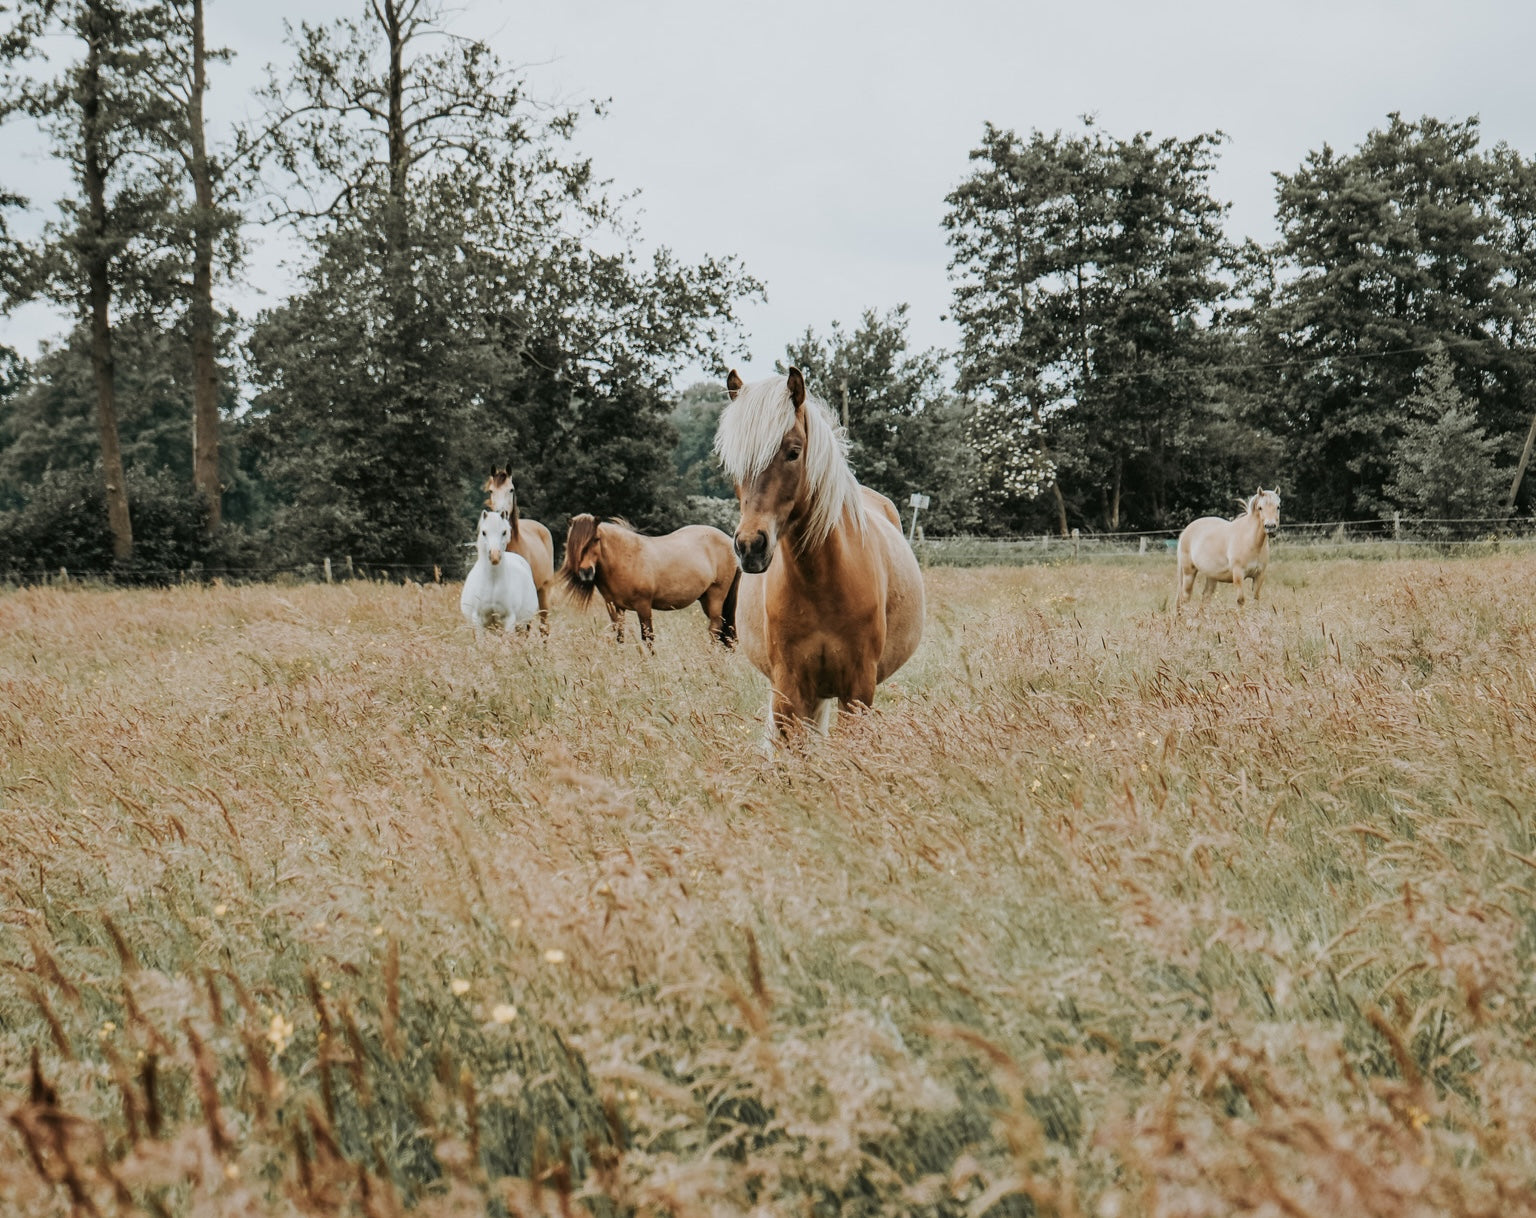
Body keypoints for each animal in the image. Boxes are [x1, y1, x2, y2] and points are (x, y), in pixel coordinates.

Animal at [558, 515, 740, 648]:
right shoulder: (615, 607)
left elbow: (648, 637)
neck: (626, 559)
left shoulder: (643, 605)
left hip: (716, 596)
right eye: (572, 541)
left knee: (715, 628)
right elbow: (620, 635)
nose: (586, 572)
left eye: (596, 539)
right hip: (706, 599)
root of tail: (729, 542)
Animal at [714, 367, 924, 739]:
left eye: (793, 452)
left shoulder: (857, 691)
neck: (822, 582)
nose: (750, 546)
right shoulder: (788, 690)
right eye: (733, 464)